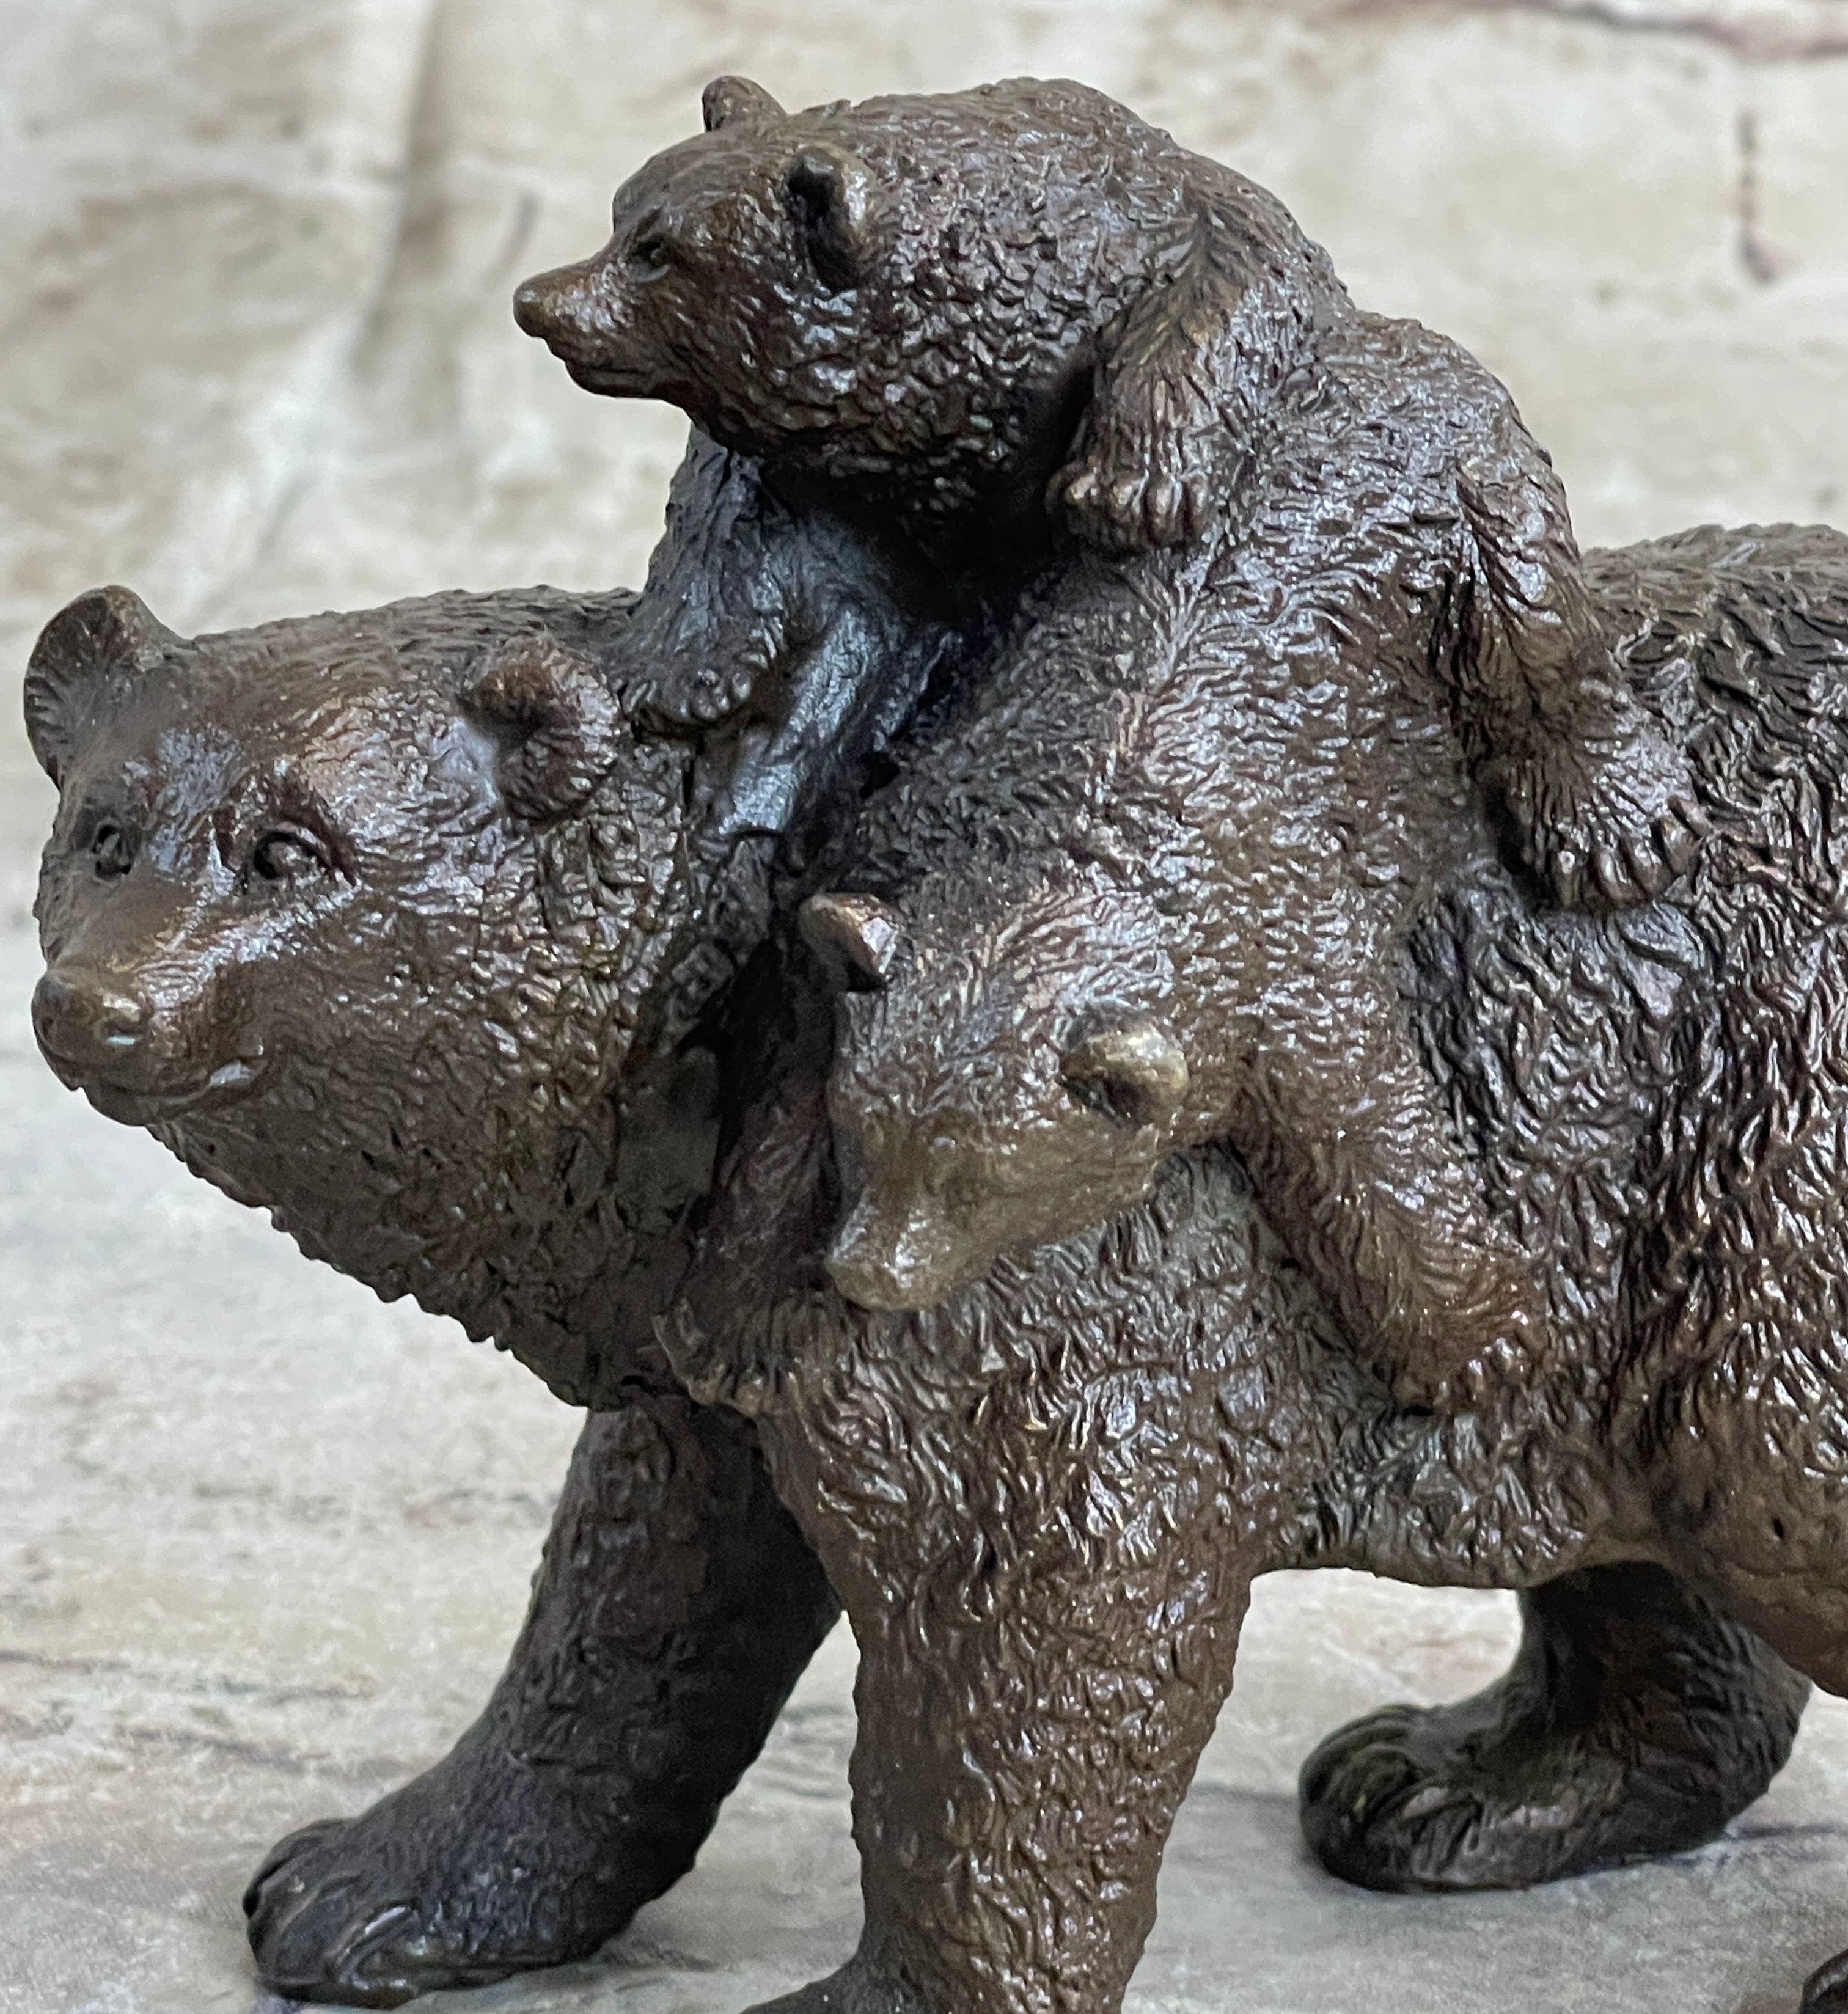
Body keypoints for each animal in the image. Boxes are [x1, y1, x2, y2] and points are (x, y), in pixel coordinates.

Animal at [512, 73, 1703, 917]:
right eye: (620, 214)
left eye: (658, 252)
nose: (537, 300)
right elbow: (739, 527)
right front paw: (664, 669)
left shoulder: (1162, 216)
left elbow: (1232, 273)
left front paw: (1131, 487)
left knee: (1530, 613)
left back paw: (1614, 832)